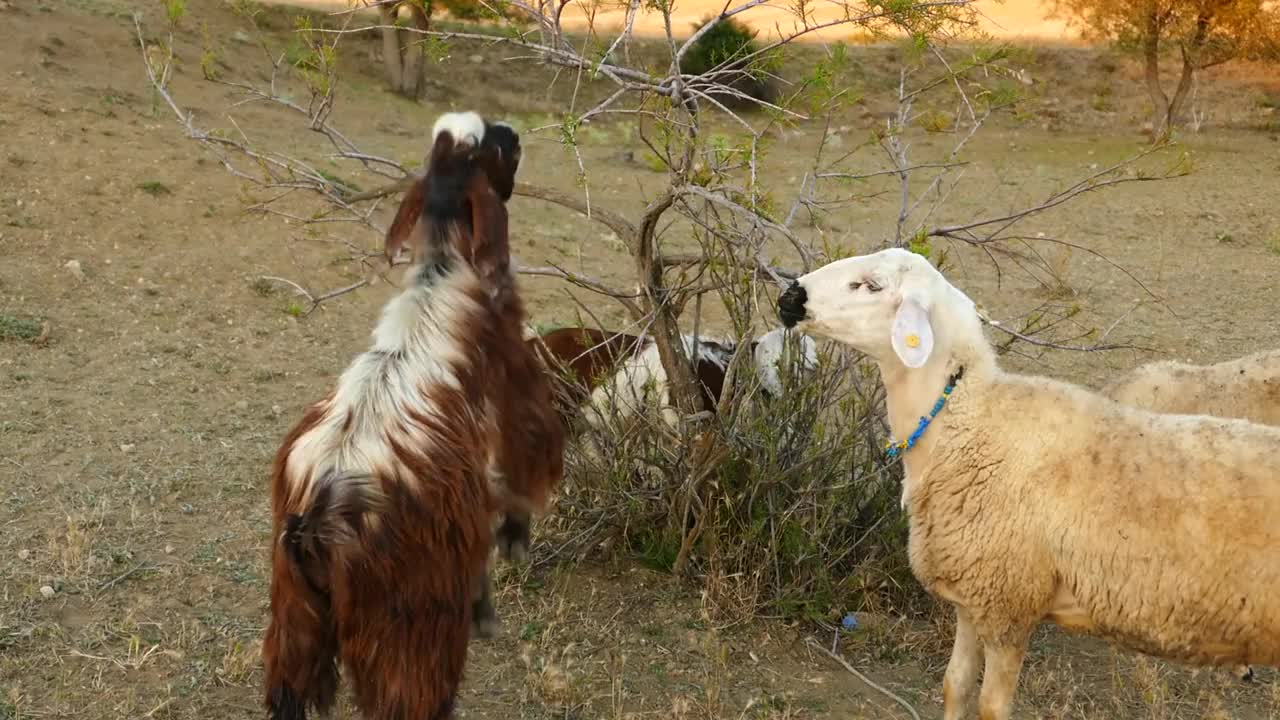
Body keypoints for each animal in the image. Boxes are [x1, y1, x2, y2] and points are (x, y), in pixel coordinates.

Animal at [262, 112, 537, 717]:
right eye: (491, 144)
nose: (516, 134)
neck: (442, 273)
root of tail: (316, 517)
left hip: (295, 618)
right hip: (407, 632)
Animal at [773, 245, 1280, 717]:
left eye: (871, 285)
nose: (789, 297)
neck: (969, 421)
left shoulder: (1008, 605)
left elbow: (991, 706)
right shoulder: (971, 597)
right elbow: (954, 685)